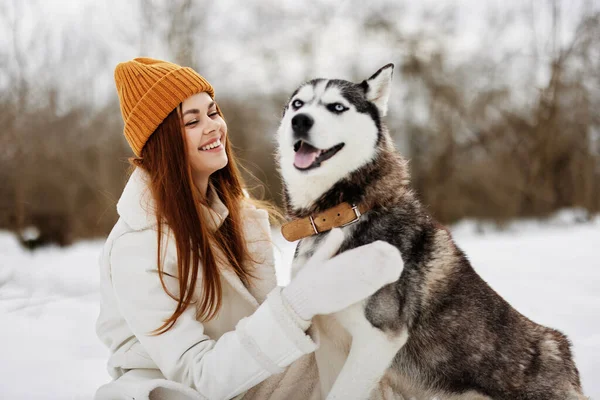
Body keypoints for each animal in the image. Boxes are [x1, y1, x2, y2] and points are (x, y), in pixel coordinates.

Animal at [276, 65, 584, 400]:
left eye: (337, 107)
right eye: (297, 104)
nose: (300, 120)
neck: (342, 212)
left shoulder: (378, 338)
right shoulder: (330, 337)